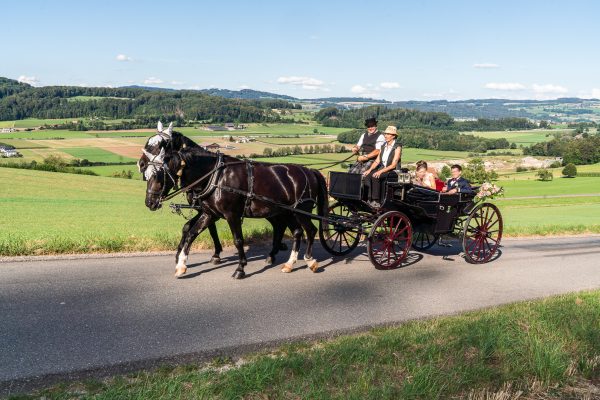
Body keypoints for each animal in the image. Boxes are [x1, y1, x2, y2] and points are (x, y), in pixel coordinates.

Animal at [140, 122, 326, 278]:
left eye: (159, 175)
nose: (149, 202)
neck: (213, 175)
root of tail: (310, 171)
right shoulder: (208, 213)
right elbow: (191, 232)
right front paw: (181, 263)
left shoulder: (231, 215)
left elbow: (238, 240)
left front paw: (240, 268)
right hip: (285, 212)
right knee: (295, 231)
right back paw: (287, 262)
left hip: (301, 211)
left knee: (310, 231)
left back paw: (309, 260)